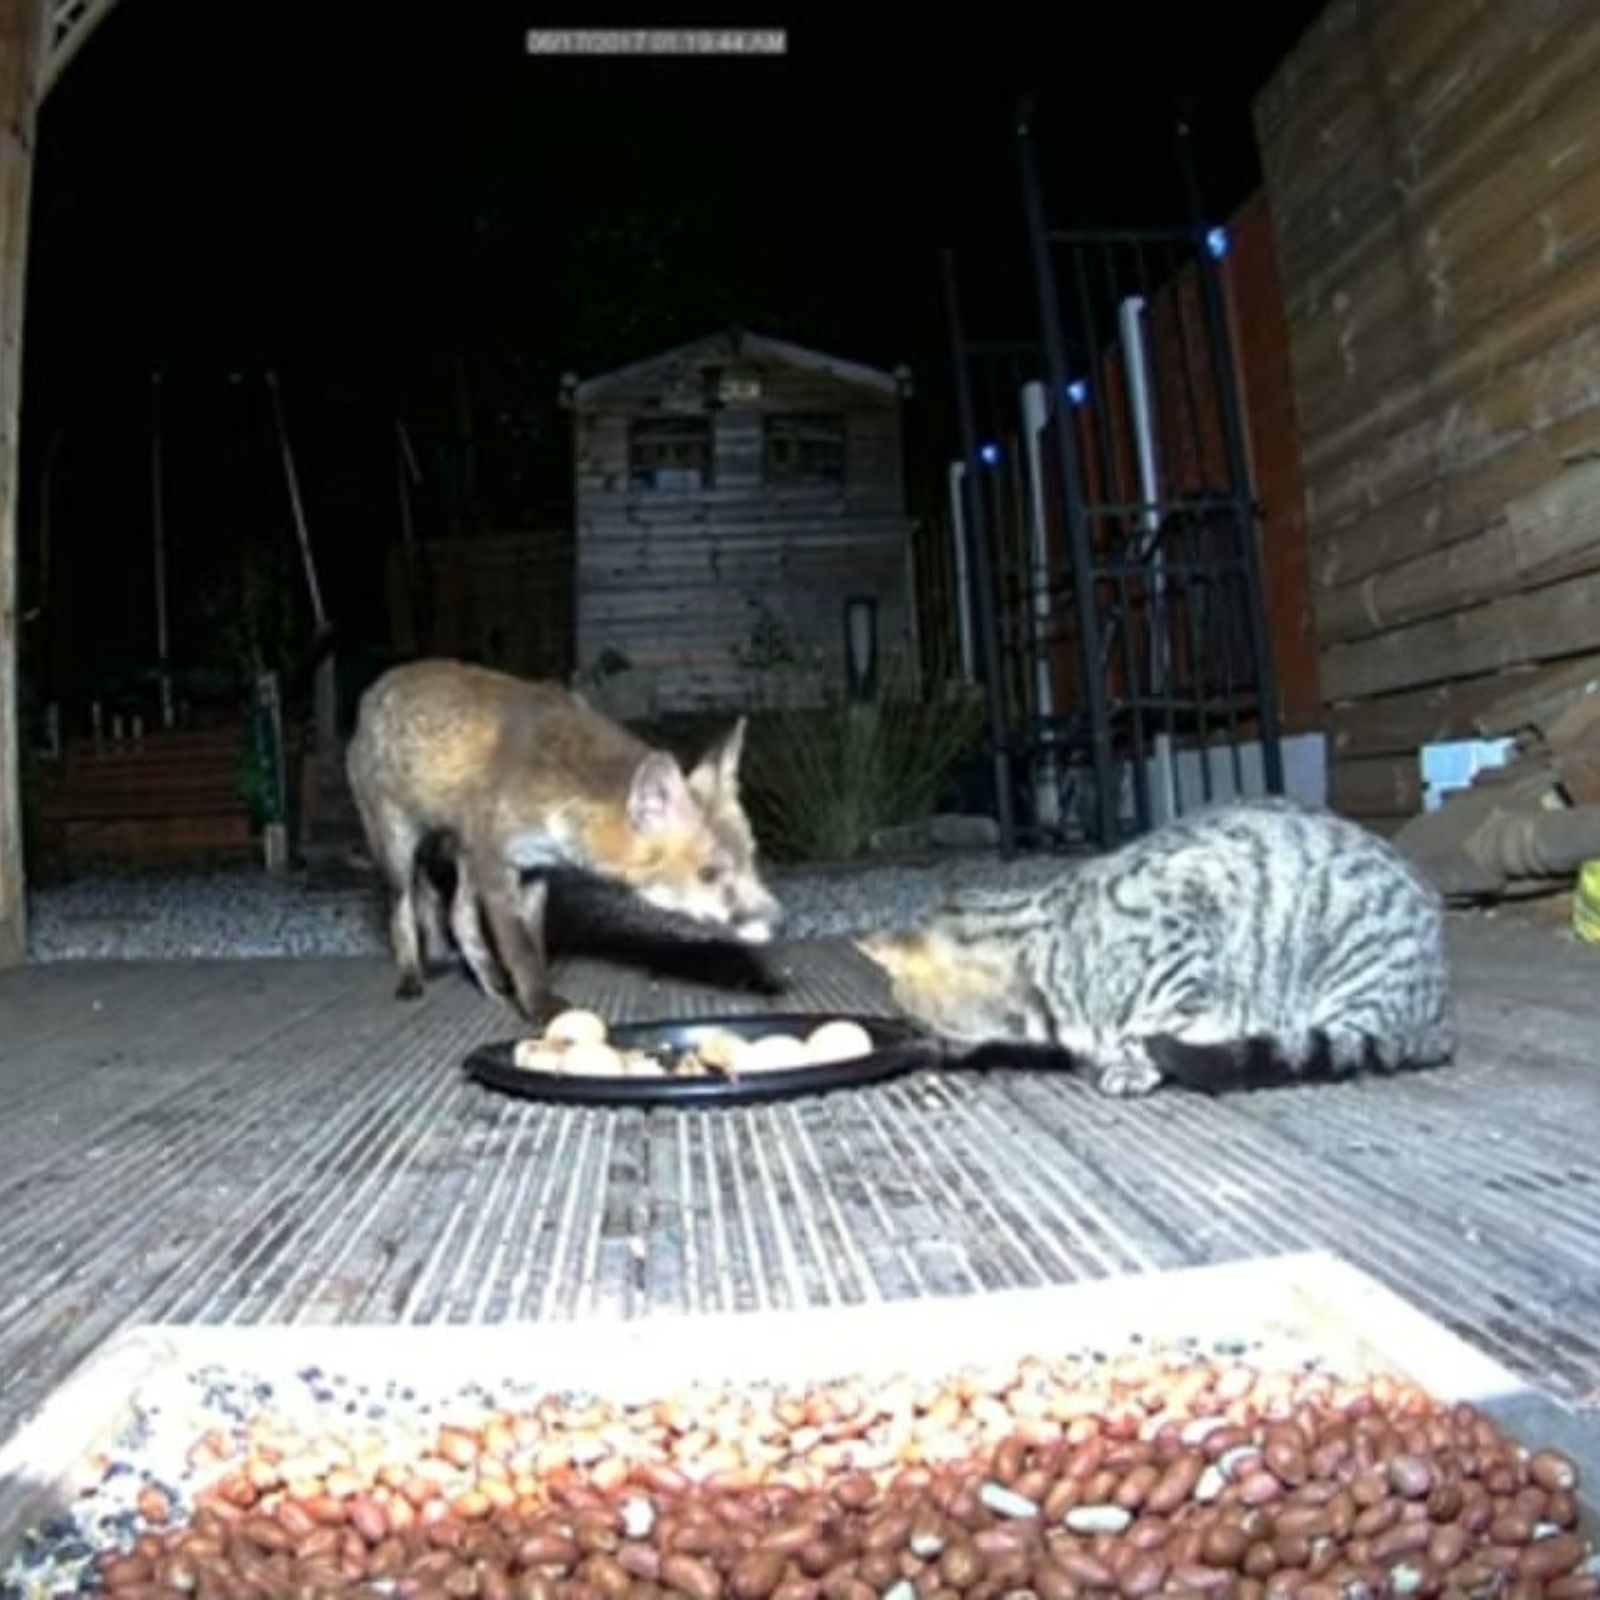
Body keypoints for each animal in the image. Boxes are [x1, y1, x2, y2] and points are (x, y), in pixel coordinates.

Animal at [344, 656, 780, 1017]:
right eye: (709, 874)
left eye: (752, 858)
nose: (778, 918)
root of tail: (374, 690)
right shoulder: (495, 863)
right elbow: (520, 950)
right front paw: (541, 1007)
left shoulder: (536, 870)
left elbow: (535, 941)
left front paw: (534, 991)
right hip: (400, 849)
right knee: (404, 911)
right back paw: (411, 976)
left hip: (464, 858)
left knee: (457, 916)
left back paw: (490, 984)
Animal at [857, 796, 1459, 1094]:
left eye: (908, 1012)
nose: (913, 1036)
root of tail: (1435, 1010)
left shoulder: (1186, 951)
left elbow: (1152, 1028)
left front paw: (1134, 1062)